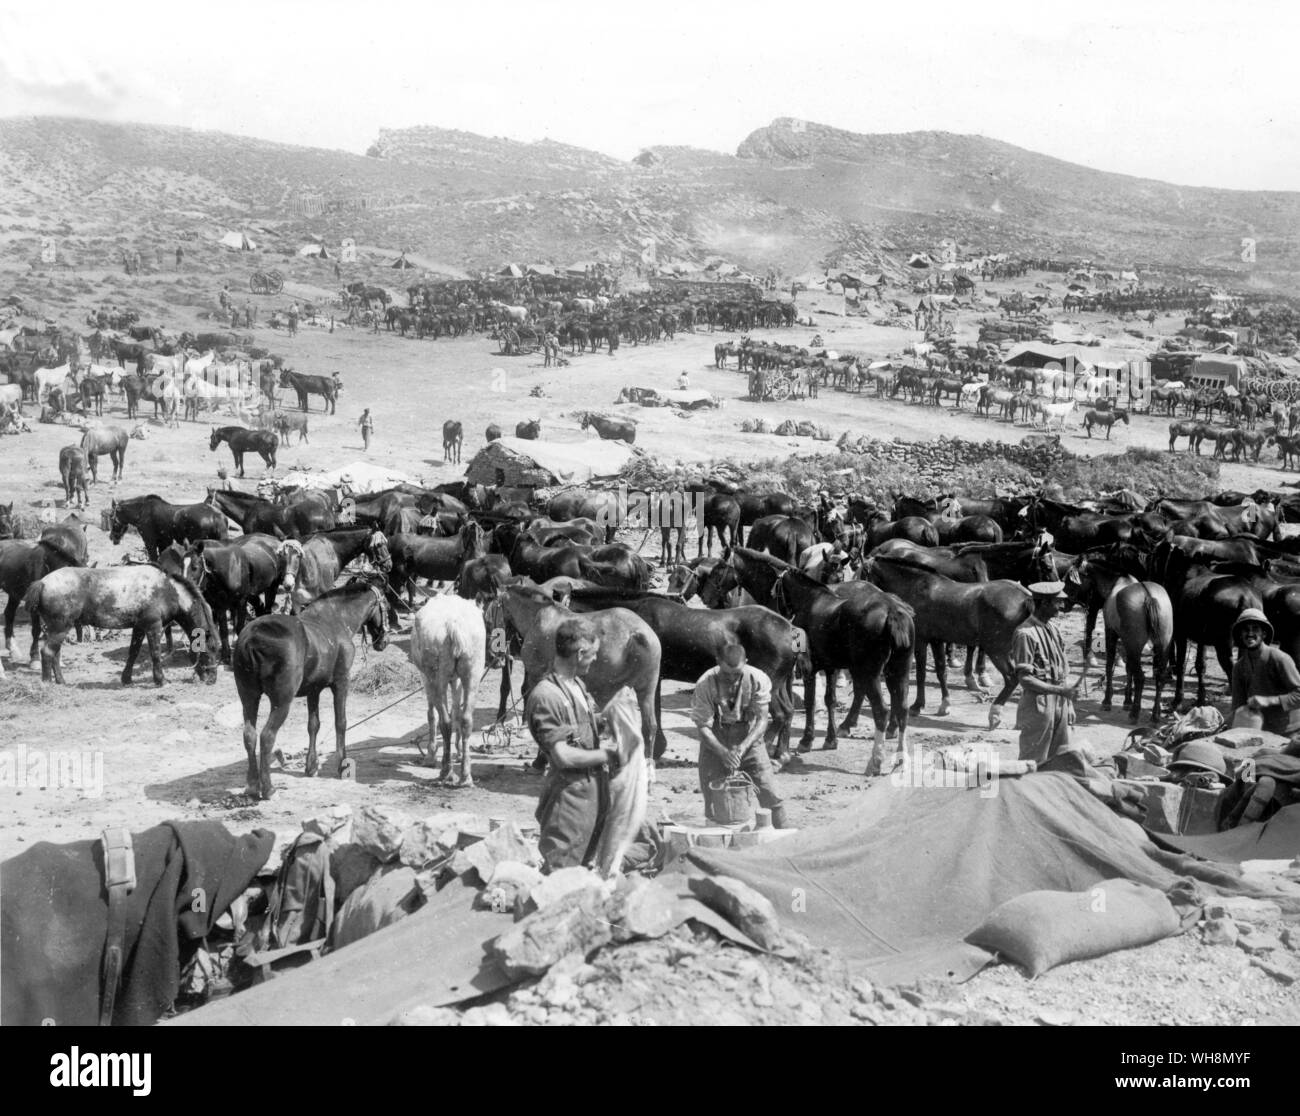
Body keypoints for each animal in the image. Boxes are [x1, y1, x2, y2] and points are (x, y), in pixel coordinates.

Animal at [26, 569, 218, 681]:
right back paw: (47, 683)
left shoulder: (139, 627)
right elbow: (155, 654)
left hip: (57, 630)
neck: (167, 590)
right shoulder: (153, 627)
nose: (212, 678)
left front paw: (126, 678)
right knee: (48, 652)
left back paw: (61, 681)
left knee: (55, 654)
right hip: (60, 628)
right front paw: (161, 680)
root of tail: (42, 582)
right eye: (209, 648)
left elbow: (133, 652)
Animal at [231, 577, 387, 796]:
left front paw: (311, 766)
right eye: (387, 606)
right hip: (281, 702)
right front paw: (342, 765)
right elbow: (340, 722)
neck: (336, 619)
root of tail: (252, 639)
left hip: (249, 698)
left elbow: (313, 724)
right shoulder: (341, 683)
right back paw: (268, 789)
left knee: (250, 736)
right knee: (267, 736)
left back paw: (253, 786)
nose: (383, 641)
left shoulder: (314, 689)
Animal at [408, 590, 486, 780]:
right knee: (466, 719)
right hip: (472, 673)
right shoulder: (455, 679)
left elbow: (431, 714)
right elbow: (457, 711)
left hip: (437, 678)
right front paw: (458, 752)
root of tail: (453, 625)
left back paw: (446, 771)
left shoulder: (426, 677)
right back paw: (465, 775)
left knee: (445, 722)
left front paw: (431, 754)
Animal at [702, 546, 915, 770]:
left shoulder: (806, 668)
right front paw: (829, 739)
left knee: (880, 710)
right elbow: (829, 700)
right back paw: (898, 755)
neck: (803, 599)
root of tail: (893, 611)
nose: (706, 597)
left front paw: (801, 741)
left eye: (717, 570)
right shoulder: (829, 666)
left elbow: (808, 702)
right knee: (901, 708)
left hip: (870, 672)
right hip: (897, 670)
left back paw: (875, 761)